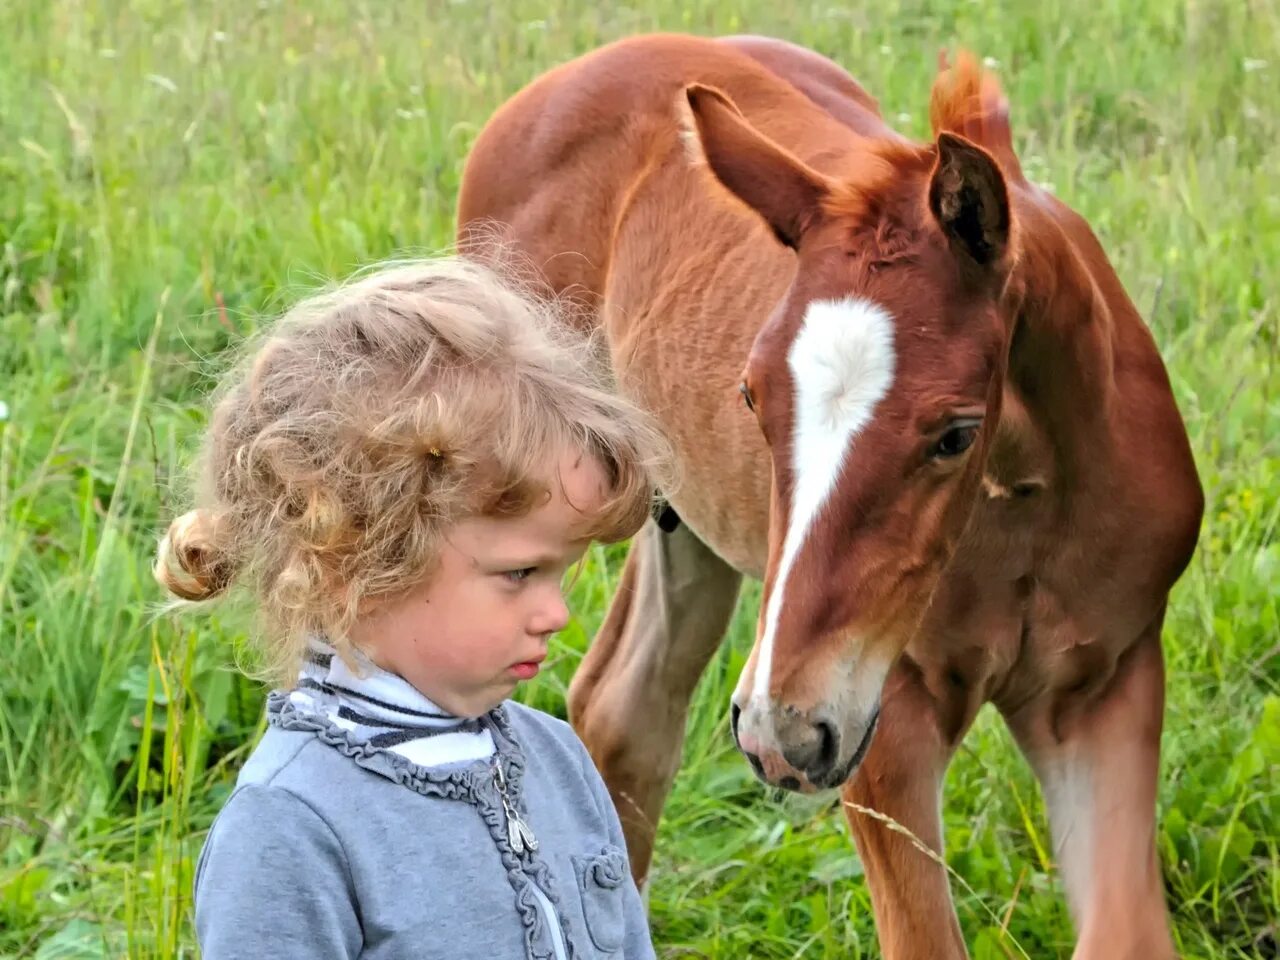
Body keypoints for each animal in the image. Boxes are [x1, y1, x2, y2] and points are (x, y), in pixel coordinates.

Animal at [455, 33, 1203, 957]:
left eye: (955, 433)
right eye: (752, 397)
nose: (778, 732)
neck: (1031, 509)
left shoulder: (1104, 684)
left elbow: (1127, 934)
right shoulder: (884, 723)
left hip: (689, 521)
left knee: (625, 707)